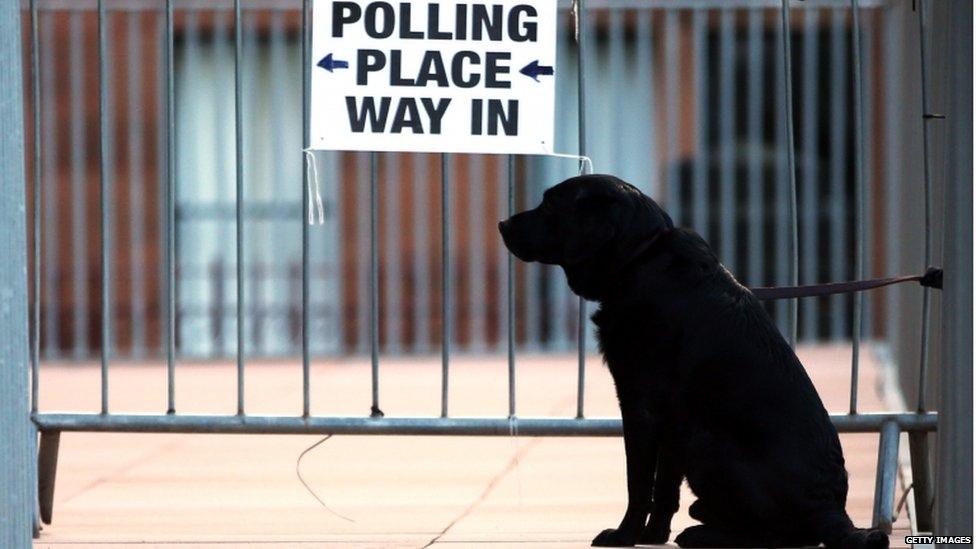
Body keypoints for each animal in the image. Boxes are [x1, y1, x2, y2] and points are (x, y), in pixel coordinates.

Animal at [500, 173, 888, 544]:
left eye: (551, 205)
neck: (640, 257)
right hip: (692, 434)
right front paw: (653, 536)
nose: (502, 224)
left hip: (703, 439)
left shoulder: (642, 404)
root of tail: (831, 509)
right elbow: (664, 488)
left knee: (781, 535)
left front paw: (624, 536)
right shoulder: (674, 417)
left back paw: (703, 534)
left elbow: (638, 484)